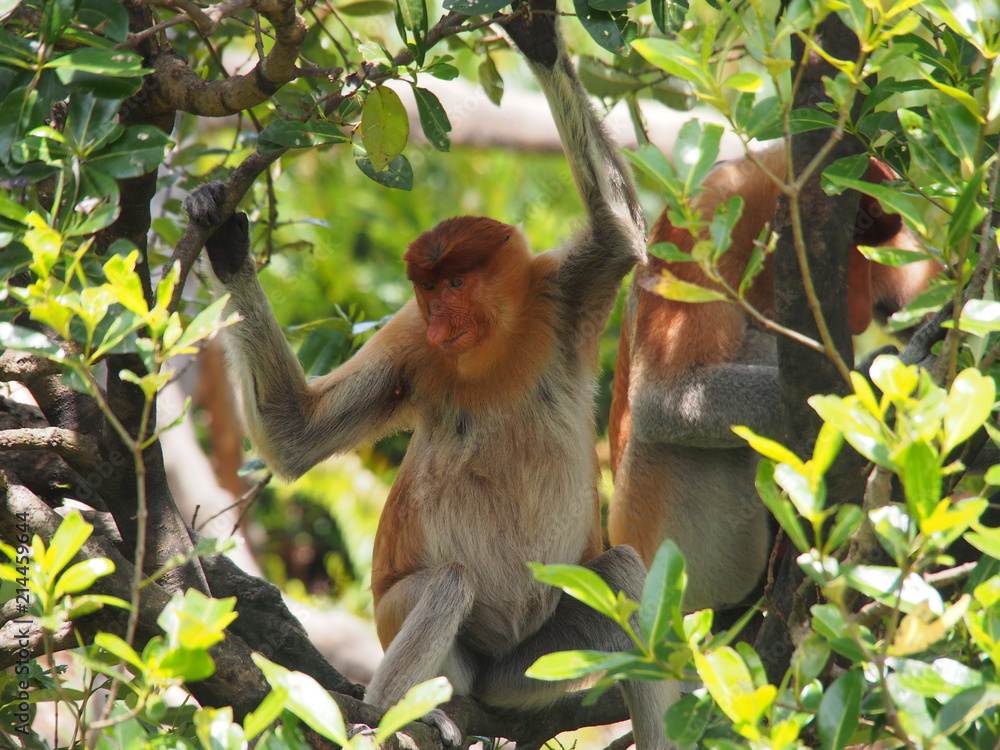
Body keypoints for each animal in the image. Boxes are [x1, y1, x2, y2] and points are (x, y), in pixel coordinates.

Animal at [187, 3, 674, 747]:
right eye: (426, 289)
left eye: (454, 282)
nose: (442, 319)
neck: (495, 345)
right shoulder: (412, 342)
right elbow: (295, 434)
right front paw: (225, 246)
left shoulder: (561, 295)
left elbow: (622, 237)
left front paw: (541, 40)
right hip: (427, 637)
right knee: (447, 582)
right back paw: (384, 715)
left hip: (538, 664)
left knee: (616, 570)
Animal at [607, 144, 942, 613]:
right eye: (849, 241)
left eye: (869, 246)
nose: (859, 309)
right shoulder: (696, 230)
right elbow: (664, 396)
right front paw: (887, 382)